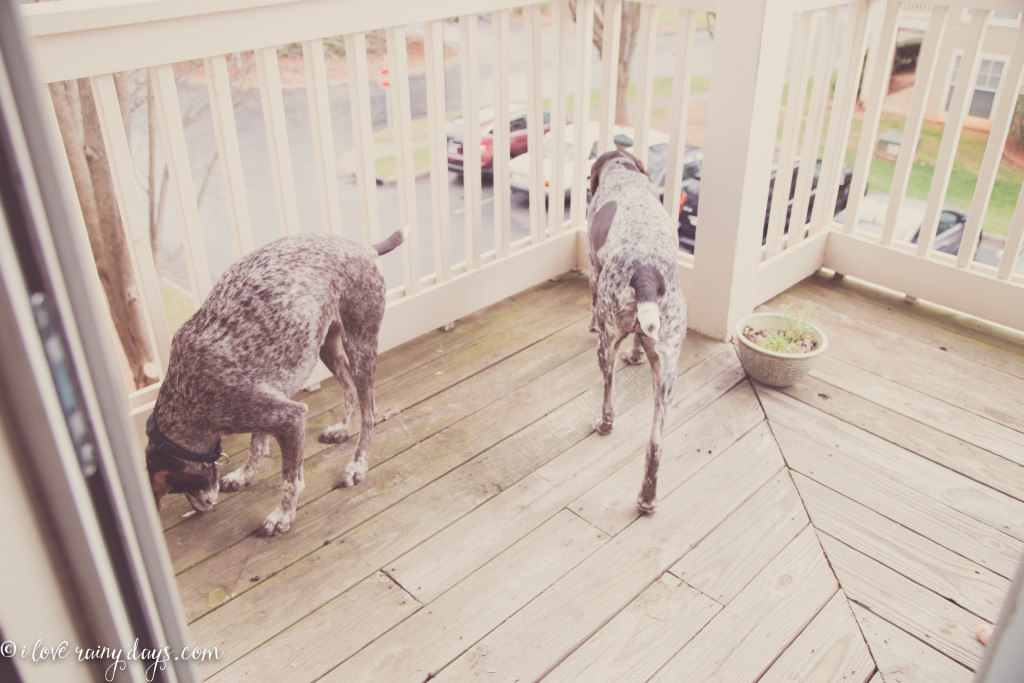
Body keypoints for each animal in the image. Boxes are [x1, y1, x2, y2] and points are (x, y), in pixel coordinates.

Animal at [148, 227, 403, 536]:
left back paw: (356, 466)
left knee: (370, 413)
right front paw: (244, 475)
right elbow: (257, 444)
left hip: (360, 345)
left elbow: (290, 479)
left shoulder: (290, 418)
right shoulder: (269, 408)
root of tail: (364, 248)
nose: (201, 507)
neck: (185, 398)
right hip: (325, 346)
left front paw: (282, 515)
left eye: (173, 486)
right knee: (348, 387)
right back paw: (342, 429)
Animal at [589, 149, 684, 511]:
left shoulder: (593, 268)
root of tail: (645, 272)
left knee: (609, 397)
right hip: (668, 373)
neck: (624, 173)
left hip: (607, 344)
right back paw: (647, 498)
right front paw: (636, 355)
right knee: (656, 442)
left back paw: (604, 425)